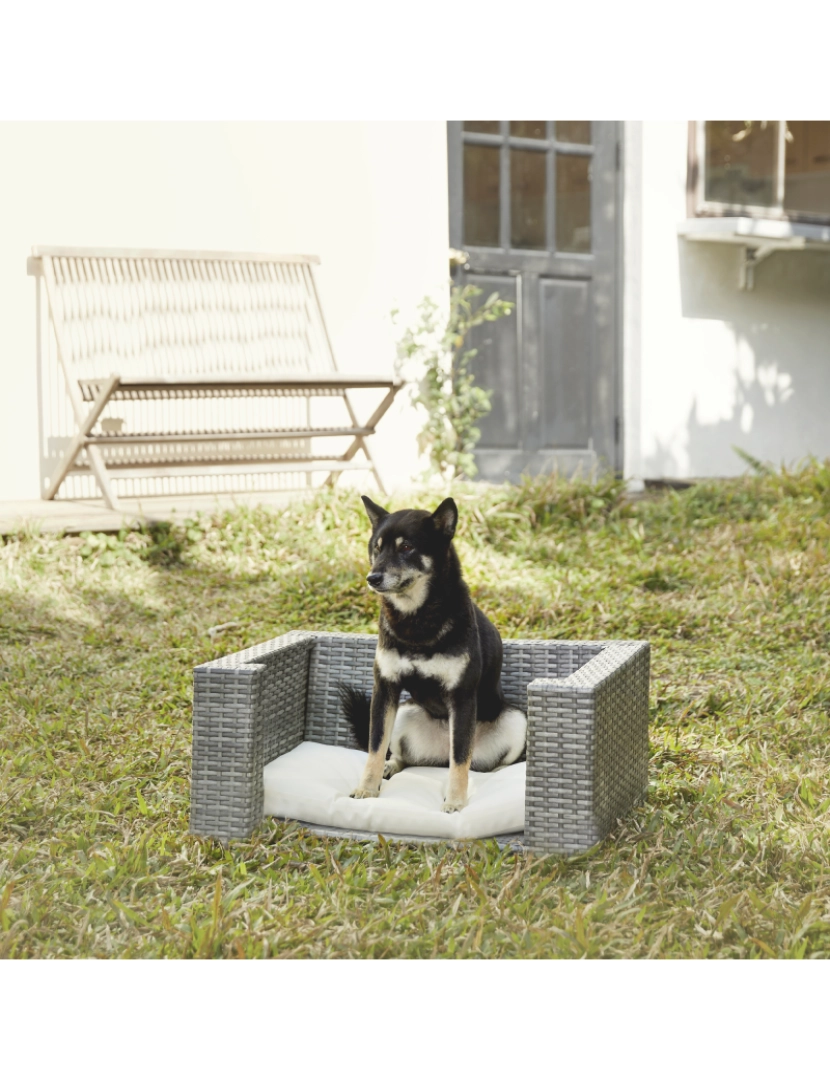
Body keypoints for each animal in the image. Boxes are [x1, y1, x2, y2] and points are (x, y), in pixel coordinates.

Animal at [341, 494, 524, 812]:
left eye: (406, 547)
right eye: (377, 548)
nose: (372, 578)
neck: (416, 620)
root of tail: (438, 757)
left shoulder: (462, 698)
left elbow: (460, 759)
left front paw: (456, 802)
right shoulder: (385, 690)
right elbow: (375, 747)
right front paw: (366, 789)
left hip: (517, 721)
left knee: (477, 763)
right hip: (404, 712)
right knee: (403, 757)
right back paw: (392, 767)